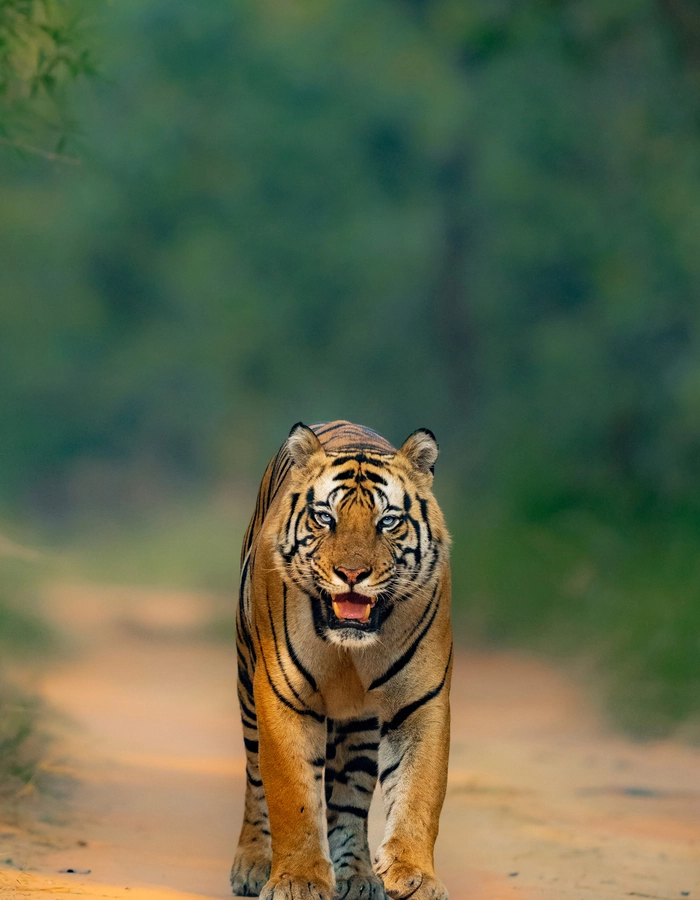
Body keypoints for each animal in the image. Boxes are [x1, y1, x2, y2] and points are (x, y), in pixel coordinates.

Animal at [231, 420, 452, 900]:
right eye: (325, 518)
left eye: (388, 521)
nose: (352, 574)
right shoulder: (283, 695)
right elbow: (292, 795)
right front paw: (297, 880)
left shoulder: (420, 700)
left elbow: (420, 792)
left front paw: (416, 877)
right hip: (246, 686)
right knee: (255, 777)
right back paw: (253, 864)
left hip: (360, 728)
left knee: (350, 797)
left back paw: (356, 876)